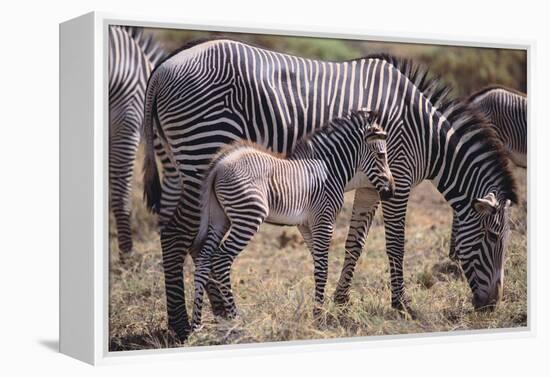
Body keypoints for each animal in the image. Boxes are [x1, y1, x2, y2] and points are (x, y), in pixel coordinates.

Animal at [191, 110, 396, 328]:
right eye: (381, 155)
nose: (391, 192)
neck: (329, 170)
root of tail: (220, 163)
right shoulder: (324, 220)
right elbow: (322, 268)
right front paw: (318, 316)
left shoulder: (305, 225)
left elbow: (319, 264)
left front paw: (320, 310)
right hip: (249, 216)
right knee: (221, 259)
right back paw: (234, 317)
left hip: (219, 218)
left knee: (204, 258)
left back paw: (195, 322)